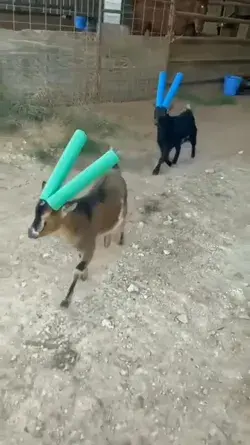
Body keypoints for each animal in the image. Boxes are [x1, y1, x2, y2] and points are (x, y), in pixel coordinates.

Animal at [28, 165, 128, 306]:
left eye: (46, 219)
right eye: (35, 212)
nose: (31, 232)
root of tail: (115, 170)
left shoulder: (90, 245)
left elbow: (77, 269)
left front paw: (66, 301)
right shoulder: (79, 248)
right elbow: (81, 263)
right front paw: (84, 276)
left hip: (124, 207)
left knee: (122, 223)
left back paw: (120, 240)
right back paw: (107, 241)